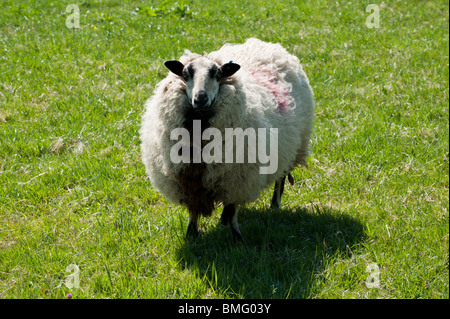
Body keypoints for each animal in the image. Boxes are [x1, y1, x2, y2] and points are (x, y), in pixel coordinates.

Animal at [140, 37, 312, 242]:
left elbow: (232, 209)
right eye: (185, 74)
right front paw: (192, 234)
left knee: (280, 178)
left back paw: (275, 205)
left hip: (291, 147)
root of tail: (268, 45)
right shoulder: (188, 179)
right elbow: (194, 209)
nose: (200, 98)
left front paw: (238, 238)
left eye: (218, 74)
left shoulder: (237, 178)